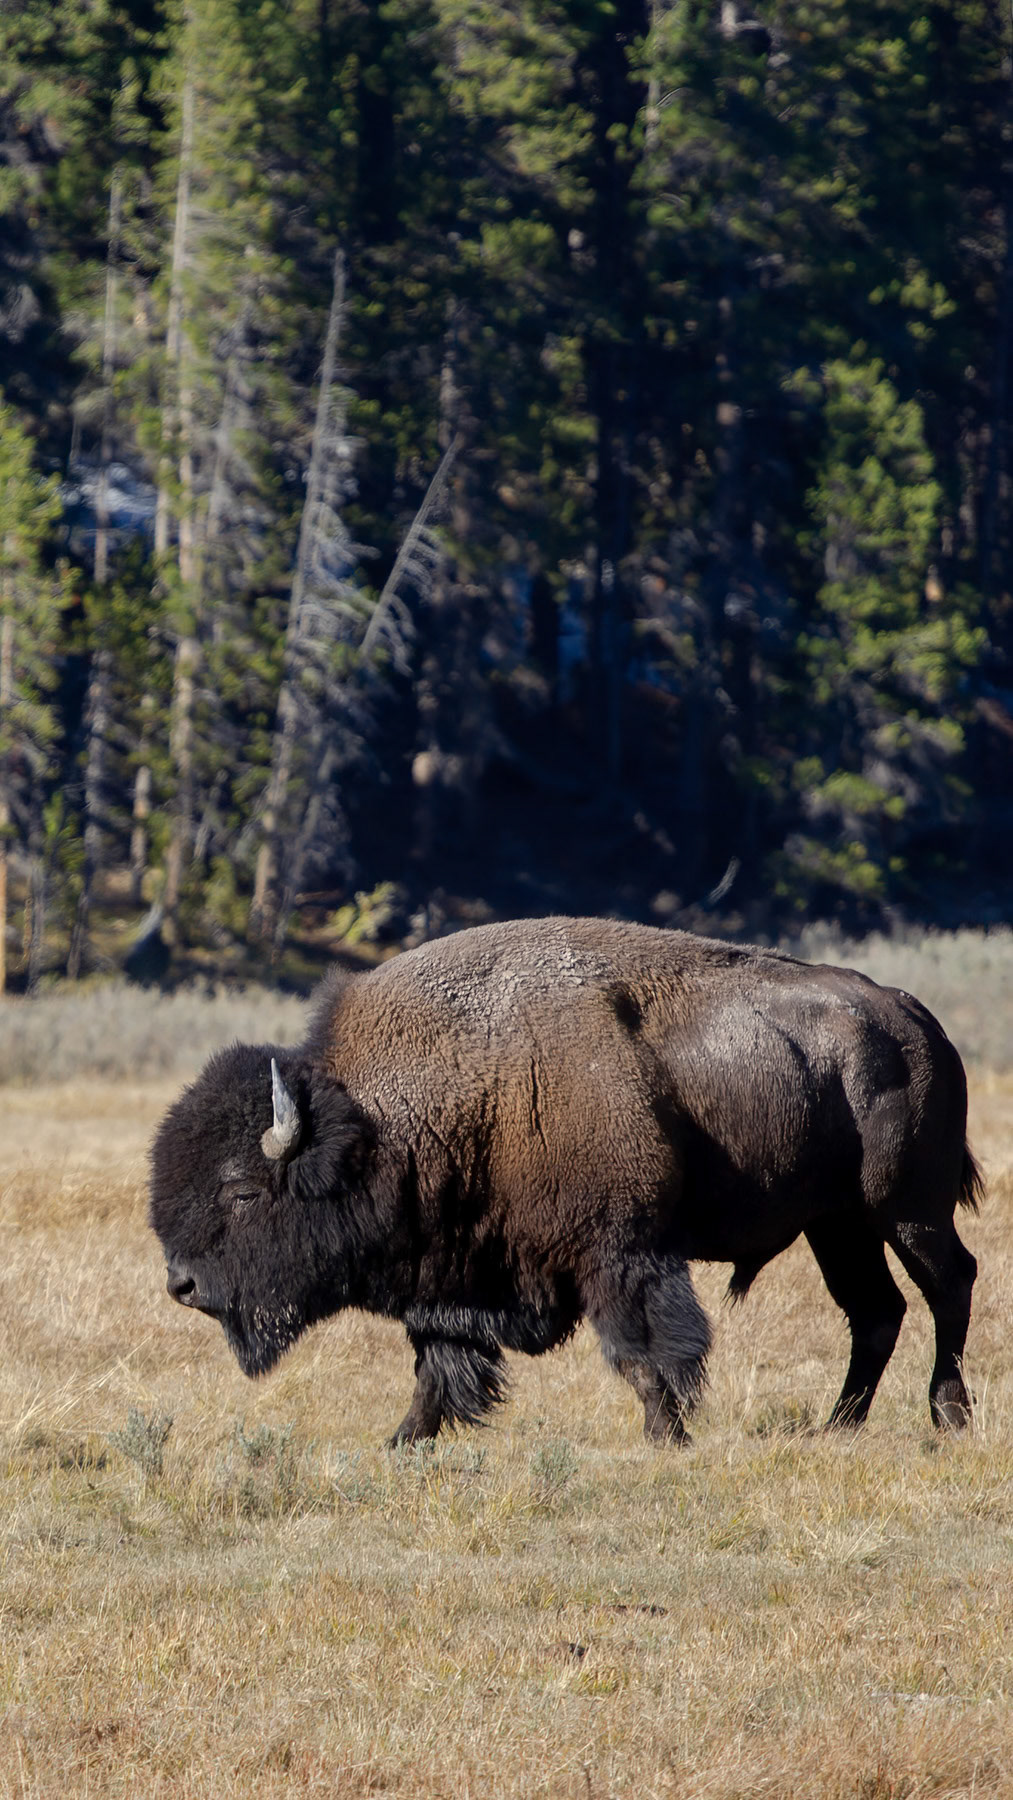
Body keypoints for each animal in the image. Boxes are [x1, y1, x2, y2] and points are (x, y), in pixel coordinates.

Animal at [149, 916, 981, 1443]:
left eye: (242, 1190)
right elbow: (437, 1369)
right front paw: (401, 1444)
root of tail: (911, 1016)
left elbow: (643, 1354)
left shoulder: (619, 1254)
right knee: (875, 1311)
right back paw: (835, 1427)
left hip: (906, 1209)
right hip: (835, 1225)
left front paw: (666, 1437)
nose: (181, 1285)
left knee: (948, 1285)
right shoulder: (455, 1280)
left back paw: (947, 1416)